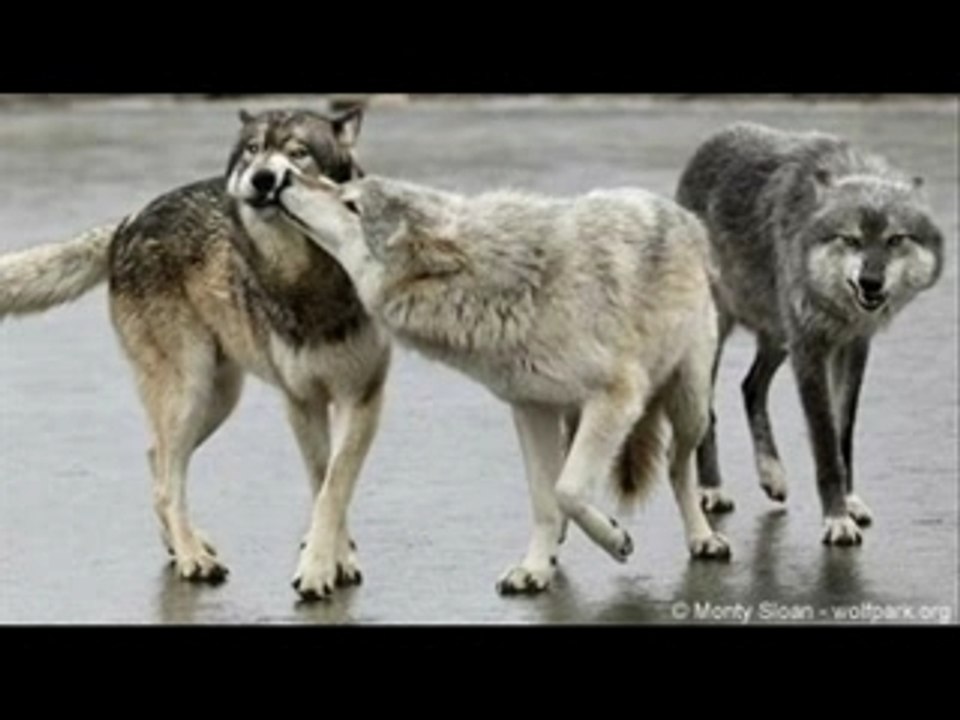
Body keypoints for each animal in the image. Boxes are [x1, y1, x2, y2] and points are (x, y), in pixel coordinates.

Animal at [0, 107, 390, 601]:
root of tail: (128, 222)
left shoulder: (362, 398)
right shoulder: (302, 401)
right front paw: (323, 566)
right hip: (189, 393)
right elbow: (323, 482)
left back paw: (181, 545)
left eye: (298, 152)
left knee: (156, 459)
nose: (262, 179)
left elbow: (335, 487)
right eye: (253, 150)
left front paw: (334, 561)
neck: (310, 278)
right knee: (169, 479)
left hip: (217, 398)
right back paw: (192, 558)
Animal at [272, 169, 731, 594]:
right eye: (340, 186)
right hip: (576, 416)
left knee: (677, 467)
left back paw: (703, 538)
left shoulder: (617, 397)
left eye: (351, 204)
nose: (285, 176)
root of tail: (682, 214)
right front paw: (535, 568)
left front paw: (615, 539)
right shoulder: (531, 408)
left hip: (689, 405)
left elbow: (568, 489)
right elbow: (547, 498)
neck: (508, 285)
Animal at [675, 122, 944, 545]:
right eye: (850, 239)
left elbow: (842, 435)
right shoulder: (810, 349)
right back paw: (712, 489)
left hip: (777, 336)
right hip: (721, 336)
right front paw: (836, 519)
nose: (870, 282)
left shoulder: (852, 347)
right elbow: (824, 443)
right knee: (709, 411)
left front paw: (848, 502)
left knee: (750, 386)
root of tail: (713, 139)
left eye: (895, 239)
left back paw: (771, 474)